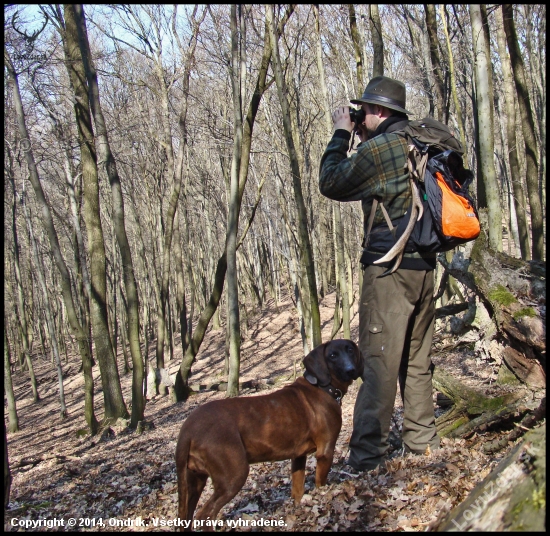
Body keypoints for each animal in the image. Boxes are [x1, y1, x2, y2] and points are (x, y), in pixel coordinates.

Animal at [176, 340, 362, 528]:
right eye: (332, 355)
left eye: (350, 350)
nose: (351, 370)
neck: (323, 387)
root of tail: (188, 428)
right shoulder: (325, 451)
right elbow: (320, 484)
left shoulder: (298, 456)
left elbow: (298, 491)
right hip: (233, 475)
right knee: (204, 515)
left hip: (194, 481)